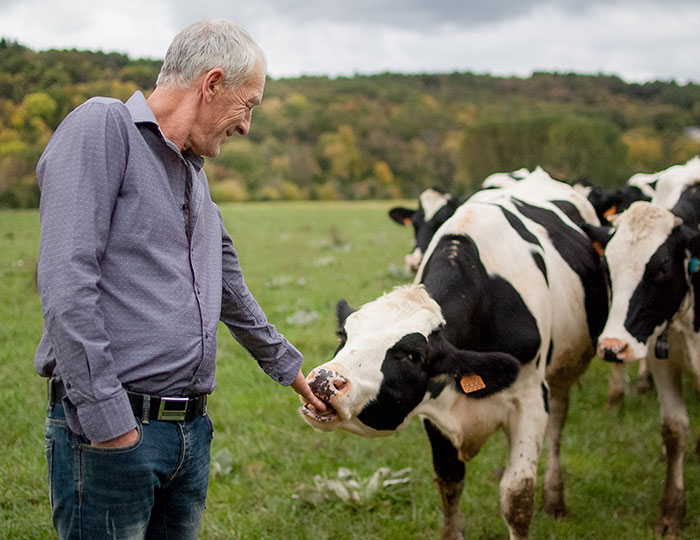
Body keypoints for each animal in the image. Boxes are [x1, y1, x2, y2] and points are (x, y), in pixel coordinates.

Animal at [304, 170, 608, 540]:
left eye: (413, 356)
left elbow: (518, 499)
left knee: (558, 424)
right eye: (344, 335)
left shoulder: (530, 399)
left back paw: (555, 497)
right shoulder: (434, 409)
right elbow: (450, 483)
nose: (324, 380)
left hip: (564, 369)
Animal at [584, 156, 700, 536]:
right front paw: (671, 513)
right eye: (607, 265)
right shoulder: (663, 359)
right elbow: (675, 429)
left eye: (662, 269)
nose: (612, 346)